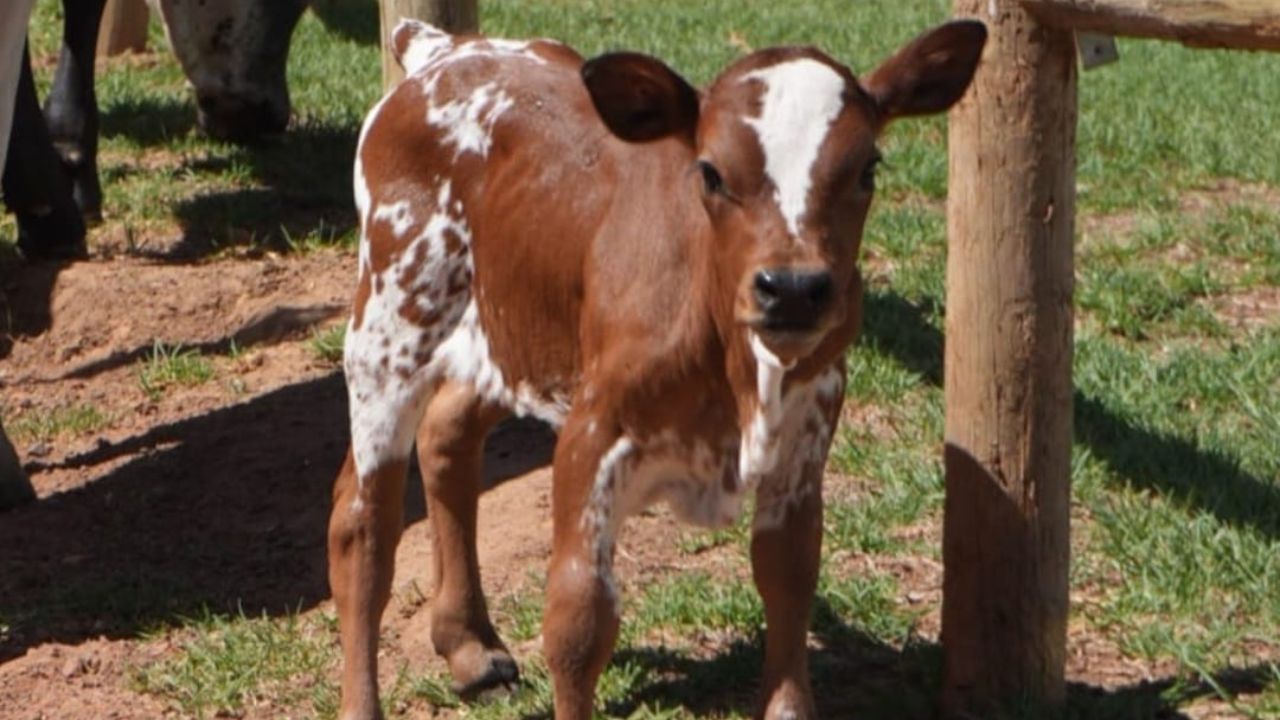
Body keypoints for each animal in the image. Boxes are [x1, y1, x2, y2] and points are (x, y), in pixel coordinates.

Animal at [329, 18, 986, 720]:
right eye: (712, 172)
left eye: (868, 168)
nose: (793, 289)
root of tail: (445, 48)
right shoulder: (592, 434)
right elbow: (578, 621)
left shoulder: (806, 435)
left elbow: (788, 577)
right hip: (390, 323)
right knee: (363, 525)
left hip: (517, 333)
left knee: (447, 435)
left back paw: (470, 645)